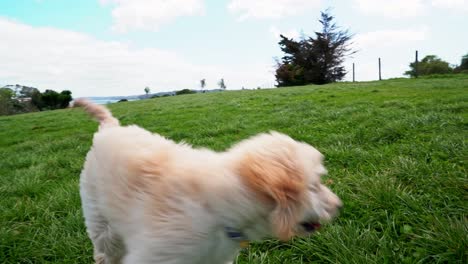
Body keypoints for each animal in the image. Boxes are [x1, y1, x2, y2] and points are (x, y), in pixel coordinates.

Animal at [75, 99, 342, 264]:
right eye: (314, 186)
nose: (339, 206)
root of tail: (109, 128)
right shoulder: (156, 255)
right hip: (100, 223)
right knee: (104, 253)